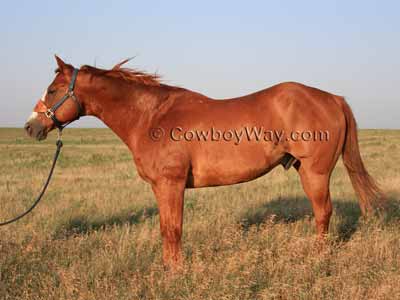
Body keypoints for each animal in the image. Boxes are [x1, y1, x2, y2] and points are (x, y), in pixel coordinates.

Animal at [23, 57, 382, 268]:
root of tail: (332, 98)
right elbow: (165, 229)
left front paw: (175, 273)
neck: (151, 116)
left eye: (53, 90)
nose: (30, 127)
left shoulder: (171, 184)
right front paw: (169, 268)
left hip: (315, 173)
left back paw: (318, 258)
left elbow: (173, 229)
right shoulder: (161, 188)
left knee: (323, 213)